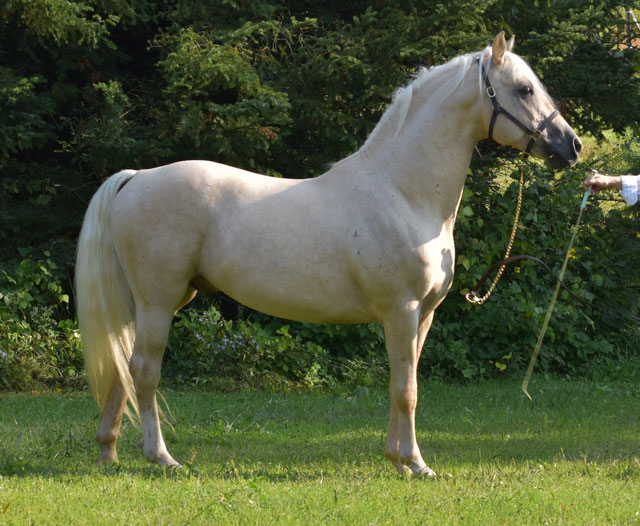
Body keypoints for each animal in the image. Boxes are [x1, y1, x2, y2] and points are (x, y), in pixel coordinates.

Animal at [75, 32, 581, 476]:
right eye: (524, 88)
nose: (571, 146)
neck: (402, 192)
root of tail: (136, 177)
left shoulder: (423, 315)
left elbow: (404, 382)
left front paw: (397, 459)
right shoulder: (401, 311)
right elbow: (407, 390)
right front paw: (416, 464)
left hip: (149, 303)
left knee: (122, 368)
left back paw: (108, 452)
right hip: (159, 302)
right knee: (144, 370)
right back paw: (161, 457)